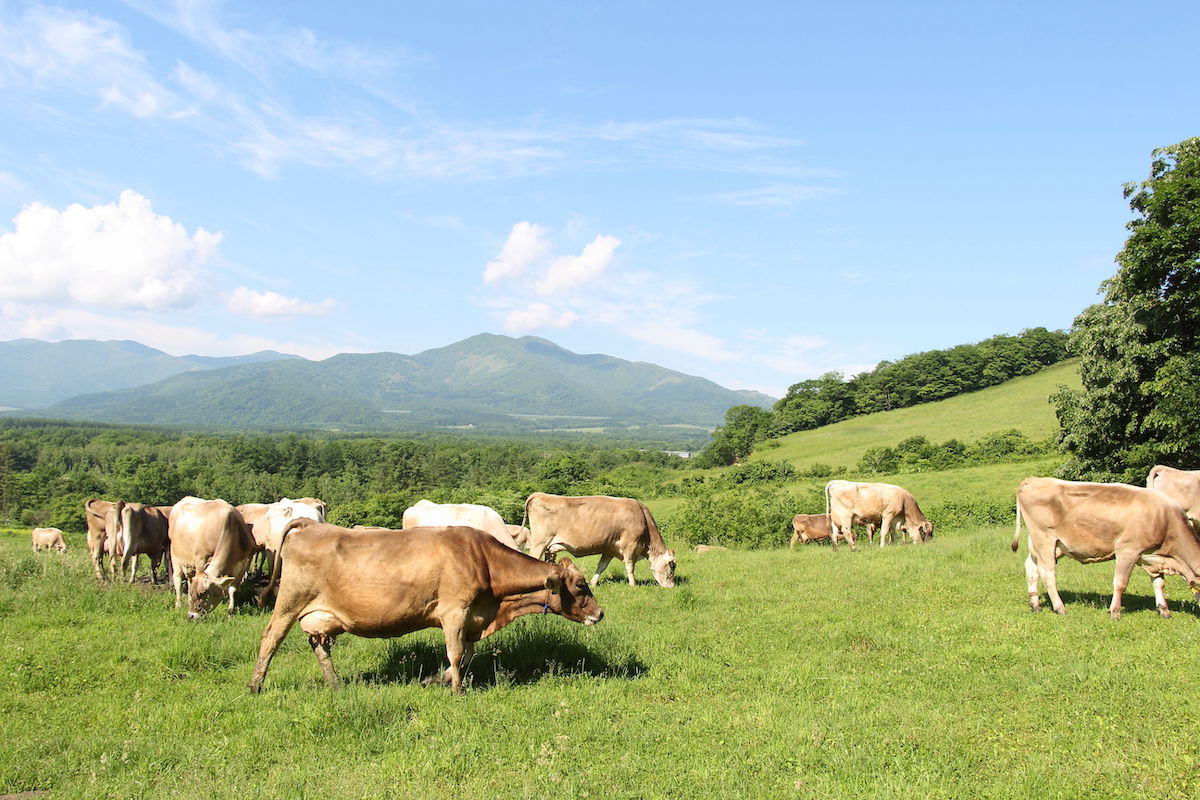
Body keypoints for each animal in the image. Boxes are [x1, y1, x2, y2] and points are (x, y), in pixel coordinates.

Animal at [244, 522, 604, 695]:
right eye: (580, 585)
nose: (599, 614)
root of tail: (309, 524)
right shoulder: (455, 611)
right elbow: (456, 655)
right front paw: (457, 691)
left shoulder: (472, 618)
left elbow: (466, 655)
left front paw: (434, 680)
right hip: (289, 602)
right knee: (270, 639)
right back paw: (255, 686)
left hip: (320, 617)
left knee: (319, 647)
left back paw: (335, 686)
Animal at [525, 489, 676, 587]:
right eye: (672, 566)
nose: (672, 586)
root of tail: (539, 494)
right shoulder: (630, 544)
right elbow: (630, 566)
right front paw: (633, 585)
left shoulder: (610, 549)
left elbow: (601, 566)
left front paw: (592, 583)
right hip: (540, 542)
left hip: (548, 547)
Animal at [1012, 474, 1200, 618]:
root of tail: (1033, 480)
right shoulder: (1127, 550)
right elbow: (1120, 583)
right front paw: (1115, 612)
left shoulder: (1152, 556)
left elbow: (1159, 583)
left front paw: (1164, 610)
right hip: (1044, 538)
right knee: (1047, 573)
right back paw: (1060, 608)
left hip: (1045, 544)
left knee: (1031, 567)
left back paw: (1035, 604)